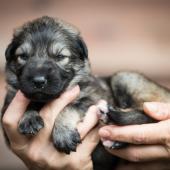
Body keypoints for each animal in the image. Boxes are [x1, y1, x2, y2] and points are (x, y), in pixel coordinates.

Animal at [1, 15, 170, 170]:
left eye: (60, 56)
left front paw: (63, 133)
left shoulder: (92, 98)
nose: (38, 81)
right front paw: (29, 118)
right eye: (23, 56)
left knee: (147, 115)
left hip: (125, 77)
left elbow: (68, 107)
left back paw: (113, 116)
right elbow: (30, 101)